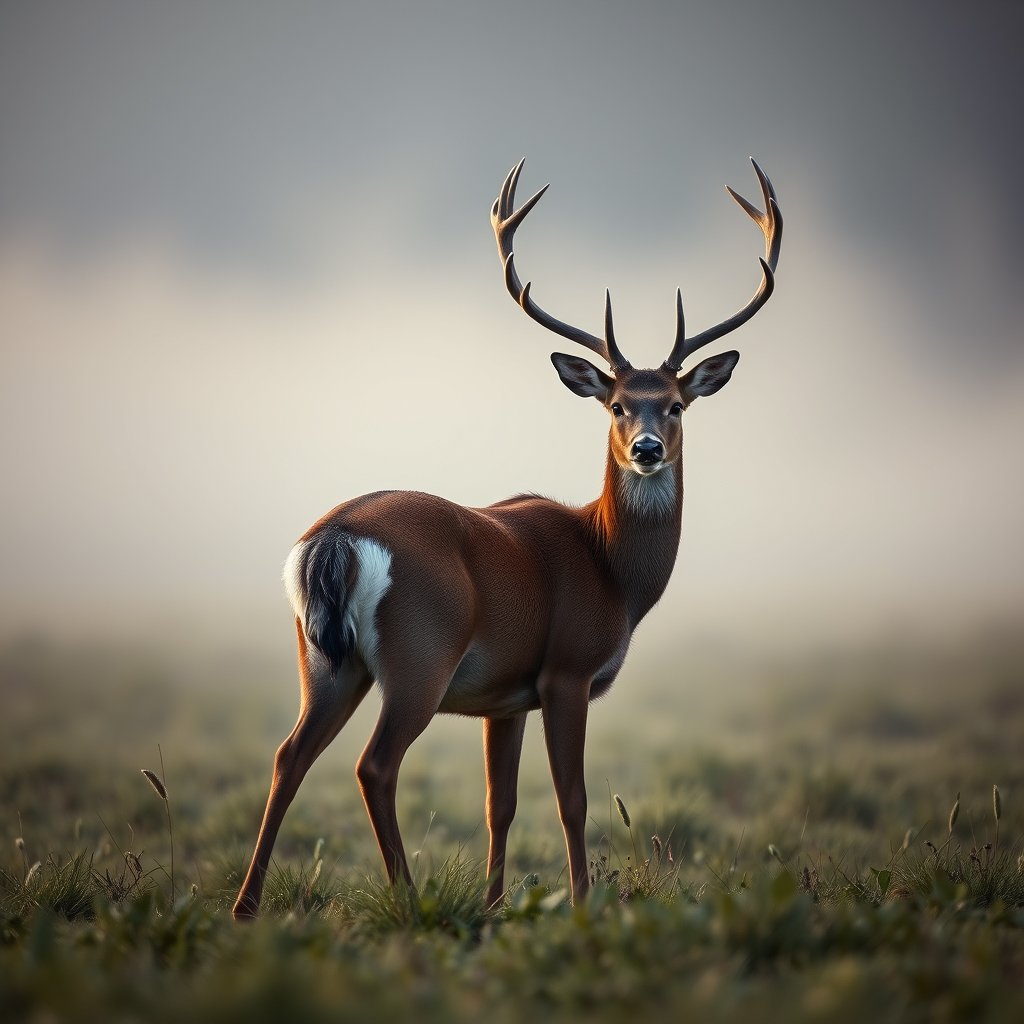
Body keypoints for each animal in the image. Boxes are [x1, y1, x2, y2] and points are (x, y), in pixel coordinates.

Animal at [232, 158, 782, 919]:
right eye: (617, 405)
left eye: (675, 405)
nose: (646, 449)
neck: (610, 566)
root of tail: (334, 538)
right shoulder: (566, 671)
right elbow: (572, 800)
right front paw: (579, 904)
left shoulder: (504, 698)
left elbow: (502, 803)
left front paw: (496, 906)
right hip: (419, 656)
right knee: (374, 764)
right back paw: (408, 897)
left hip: (325, 660)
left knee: (289, 755)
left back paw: (245, 906)